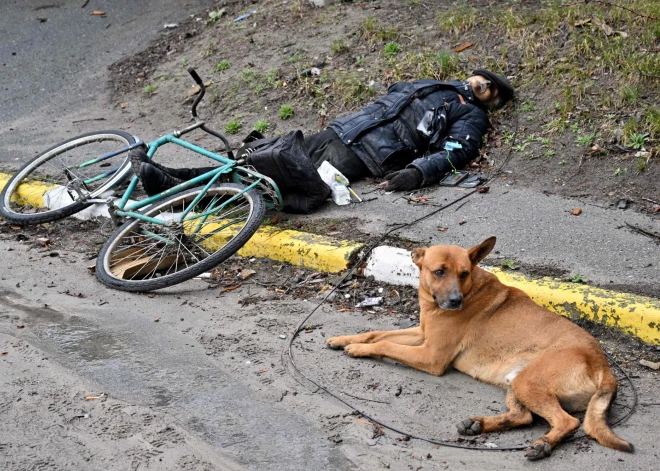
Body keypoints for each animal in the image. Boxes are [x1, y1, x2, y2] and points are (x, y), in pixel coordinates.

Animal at [328, 238, 632, 460]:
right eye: (439, 271)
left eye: (464, 274)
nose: (455, 301)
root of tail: (602, 364)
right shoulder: (421, 335)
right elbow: (376, 333)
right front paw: (344, 339)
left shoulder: (430, 356)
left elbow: (385, 343)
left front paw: (357, 349)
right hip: (517, 382)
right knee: (523, 416)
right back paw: (479, 425)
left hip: (528, 381)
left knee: (567, 422)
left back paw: (542, 444)